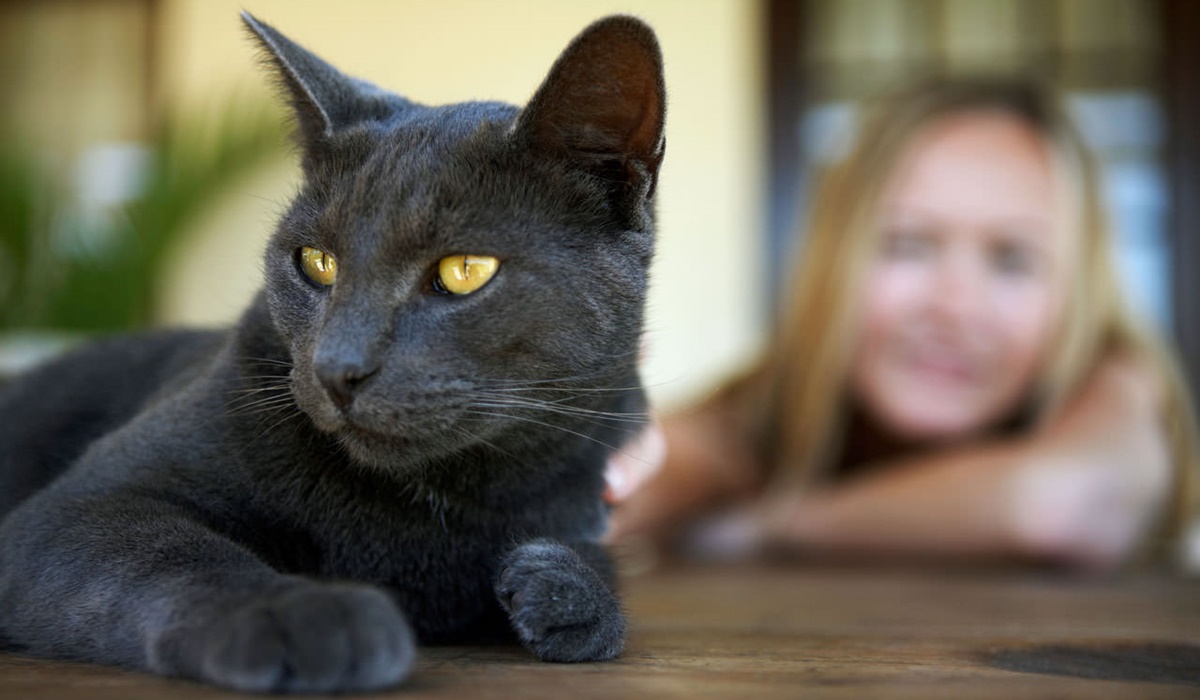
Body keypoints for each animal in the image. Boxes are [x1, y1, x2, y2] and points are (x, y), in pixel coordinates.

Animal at [0, 13, 667, 691]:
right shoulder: (76, 508)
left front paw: (566, 588)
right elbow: (174, 555)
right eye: (316, 262)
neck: (433, 498)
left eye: (464, 271)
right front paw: (304, 615)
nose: (337, 369)